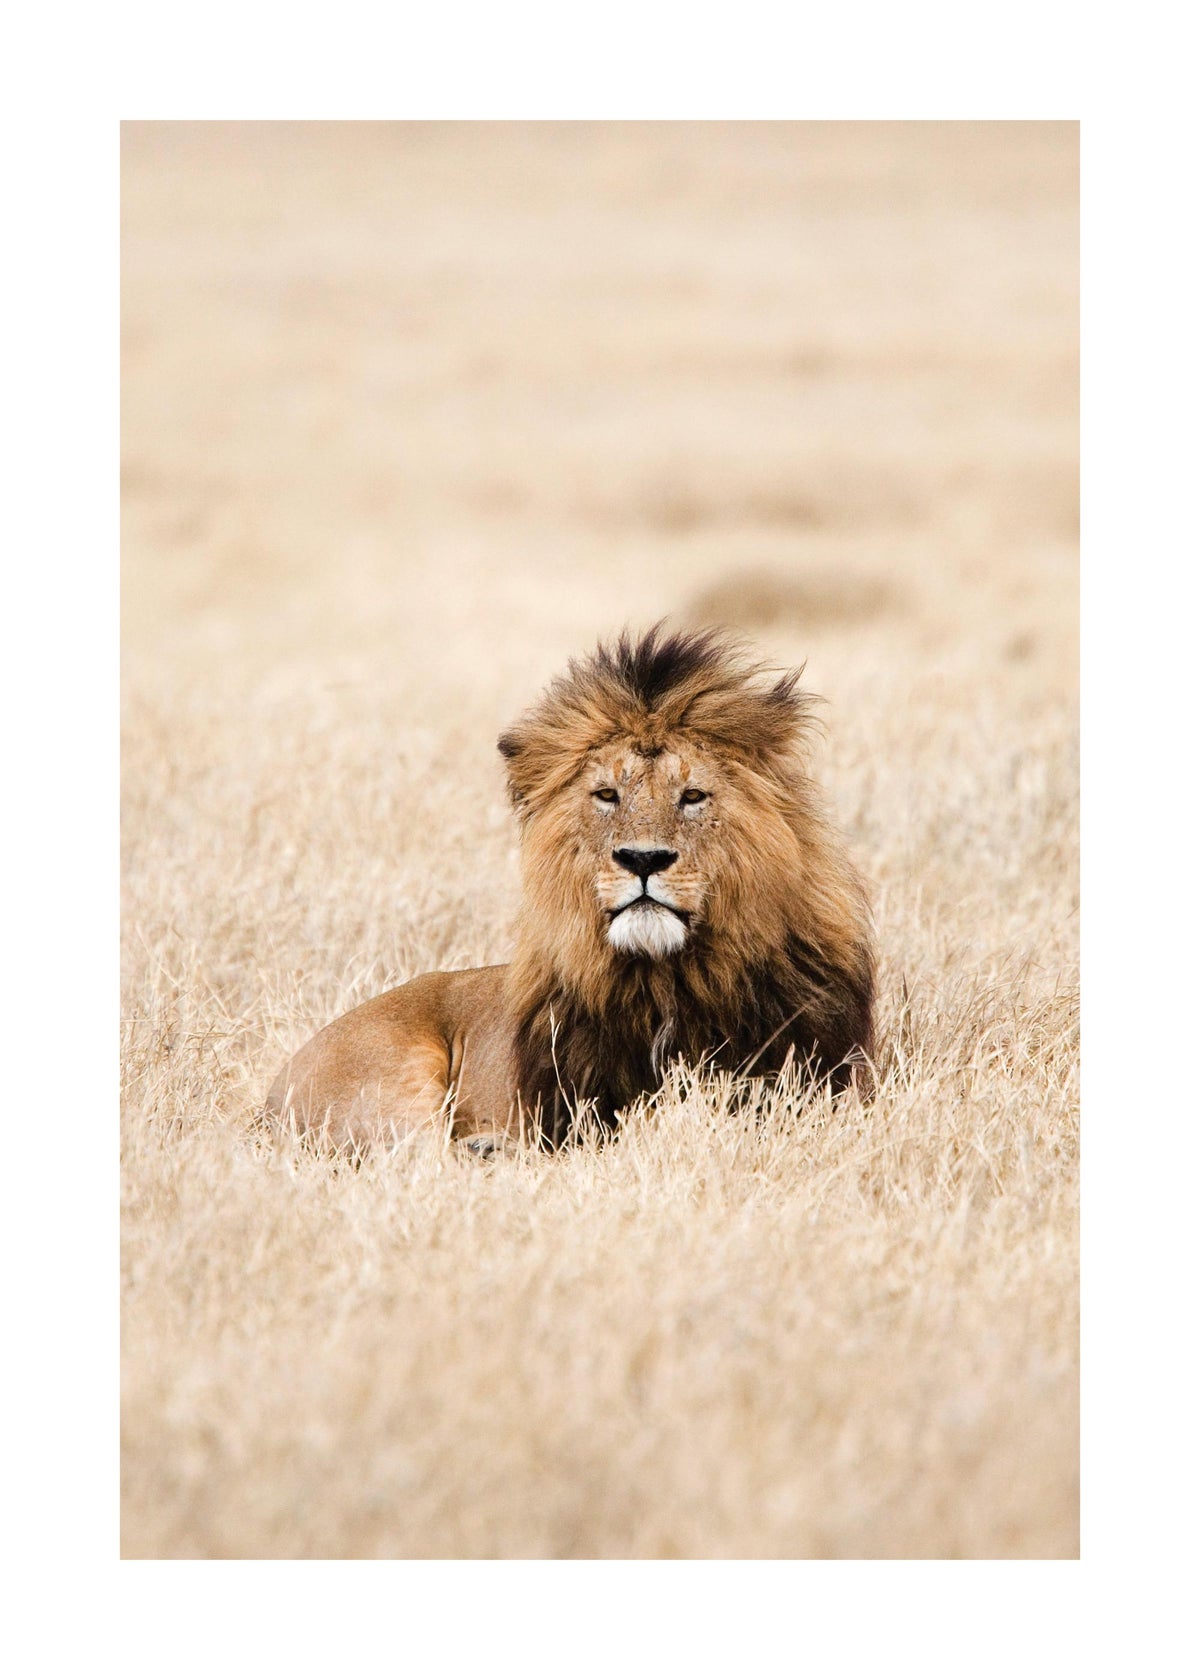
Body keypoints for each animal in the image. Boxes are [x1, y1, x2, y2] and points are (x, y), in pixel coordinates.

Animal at [265, 626, 875, 1154]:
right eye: (606, 795)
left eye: (693, 796)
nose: (643, 859)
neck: (671, 980)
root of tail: (269, 1097)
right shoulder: (576, 1111)